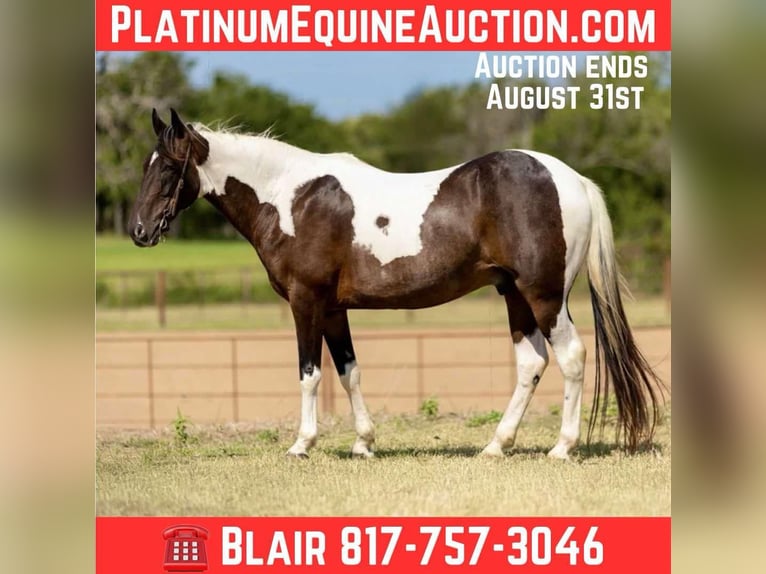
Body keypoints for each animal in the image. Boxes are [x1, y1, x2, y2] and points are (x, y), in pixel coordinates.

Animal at [129, 108, 662, 460]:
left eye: (170, 167)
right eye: (146, 165)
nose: (138, 231)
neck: (290, 198)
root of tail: (572, 180)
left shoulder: (306, 302)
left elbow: (310, 373)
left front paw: (302, 445)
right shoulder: (333, 309)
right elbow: (349, 371)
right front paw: (364, 443)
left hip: (544, 296)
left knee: (572, 358)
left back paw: (562, 448)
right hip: (514, 295)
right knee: (531, 363)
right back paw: (496, 446)